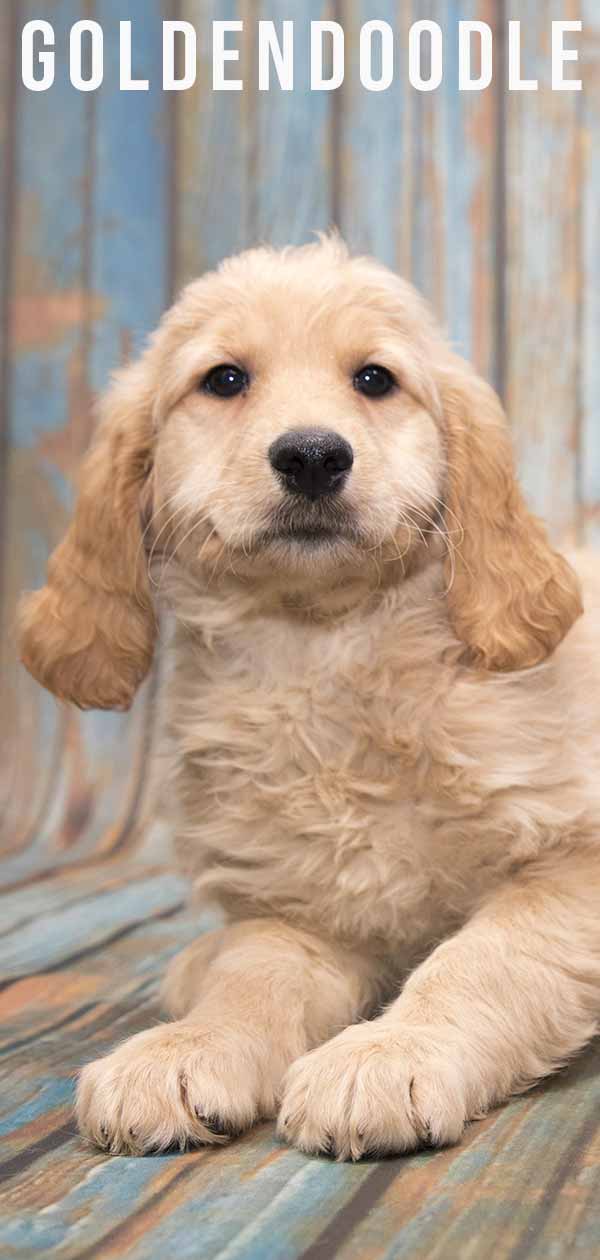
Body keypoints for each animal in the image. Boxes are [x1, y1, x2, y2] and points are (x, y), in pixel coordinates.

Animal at [18, 238, 600, 1159]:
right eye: (224, 379)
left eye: (374, 379)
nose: (314, 456)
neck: (326, 651)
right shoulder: (303, 909)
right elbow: (253, 974)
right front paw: (187, 1048)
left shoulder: (573, 863)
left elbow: (485, 957)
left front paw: (389, 1053)